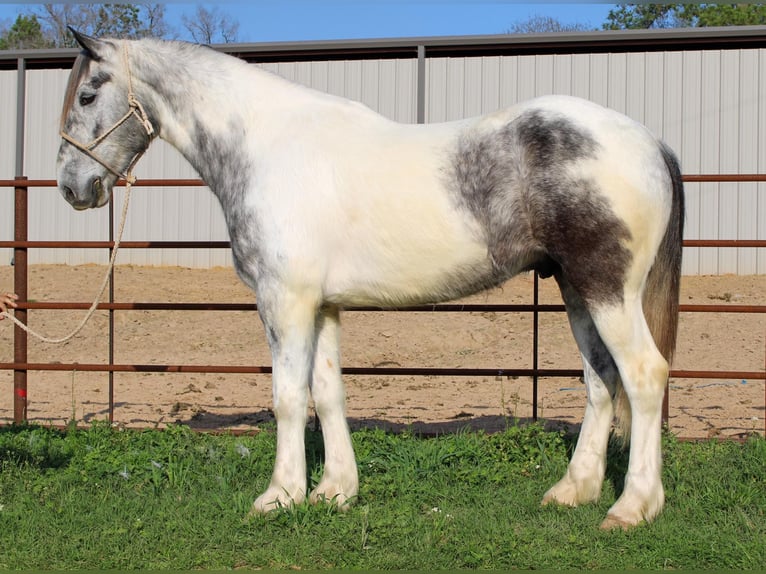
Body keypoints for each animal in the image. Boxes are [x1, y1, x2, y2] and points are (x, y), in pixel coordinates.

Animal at [56, 30, 684, 530]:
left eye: (88, 95)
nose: (71, 187)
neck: (267, 146)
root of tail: (650, 141)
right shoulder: (323, 305)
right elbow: (328, 391)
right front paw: (335, 492)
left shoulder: (284, 301)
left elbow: (288, 397)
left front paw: (280, 496)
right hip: (576, 290)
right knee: (602, 381)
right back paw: (573, 490)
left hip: (609, 291)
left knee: (643, 376)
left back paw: (632, 507)